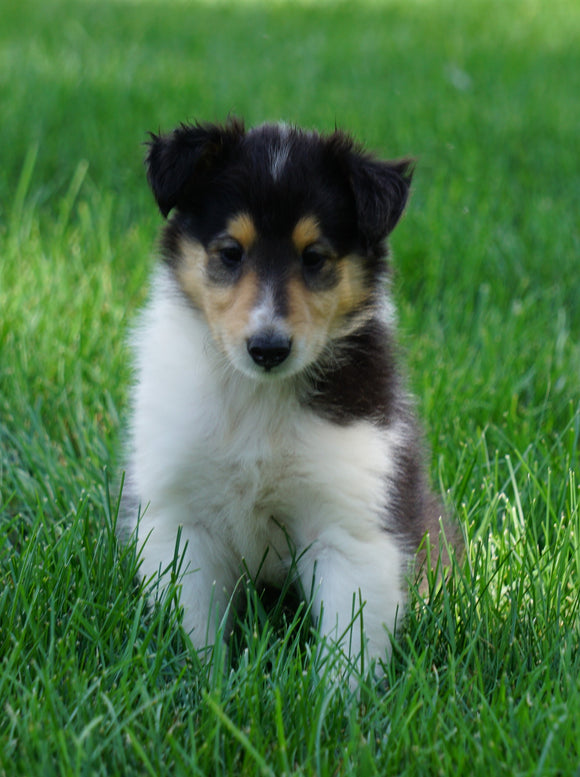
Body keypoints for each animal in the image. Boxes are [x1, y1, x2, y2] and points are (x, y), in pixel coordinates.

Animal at [121, 118, 448, 668]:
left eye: (313, 257)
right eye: (231, 253)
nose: (268, 349)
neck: (258, 397)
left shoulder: (350, 525)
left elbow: (349, 643)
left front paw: (337, 692)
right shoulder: (183, 519)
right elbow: (194, 626)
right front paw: (203, 679)